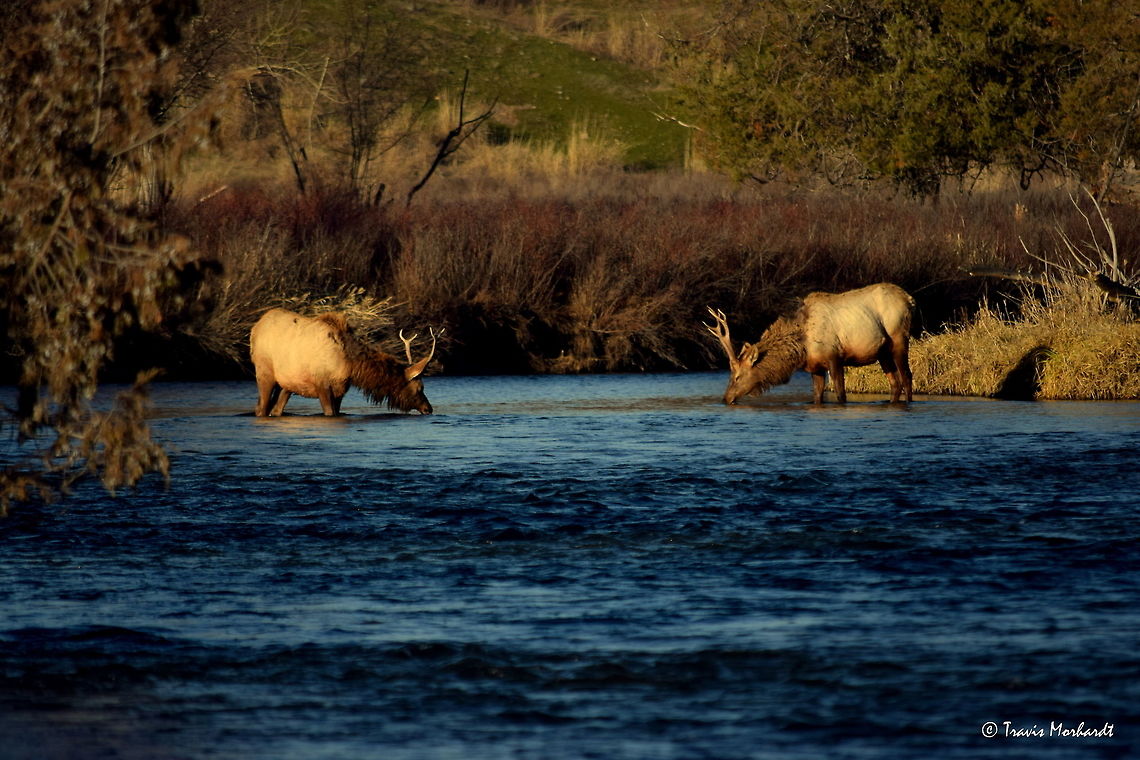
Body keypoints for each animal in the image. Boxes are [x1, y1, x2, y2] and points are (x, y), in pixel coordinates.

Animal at [250, 308, 441, 417]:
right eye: (420, 387)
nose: (429, 409)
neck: (351, 366)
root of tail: (255, 328)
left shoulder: (340, 389)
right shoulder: (322, 385)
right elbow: (328, 413)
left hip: (287, 384)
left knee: (275, 410)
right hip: (264, 372)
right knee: (261, 409)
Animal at [705, 283, 915, 405]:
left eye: (737, 376)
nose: (726, 398)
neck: (802, 346)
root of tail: (909, 299)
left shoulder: (835, 358)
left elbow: (841, 395)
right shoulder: (815, 367)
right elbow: (817, 397)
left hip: (899, 338)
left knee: (907, 377)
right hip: (883, 352)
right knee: (895, 384)